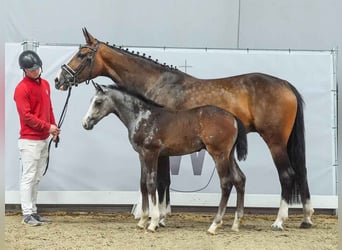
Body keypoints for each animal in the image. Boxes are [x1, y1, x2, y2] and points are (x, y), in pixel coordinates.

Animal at [83, 83, 248, 233]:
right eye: (91, 100)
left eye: (98, 102)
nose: (85, 123)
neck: (143, 117)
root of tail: (232, 117)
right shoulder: (142, 155)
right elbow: (143, 184)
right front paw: (142, 221)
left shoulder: (151, 153)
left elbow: (151, 184)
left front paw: (153, 222)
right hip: (229, 155)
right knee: (239, 179)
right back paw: (236, 224)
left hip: (219, 155)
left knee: (226, 183)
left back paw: (214, 225)